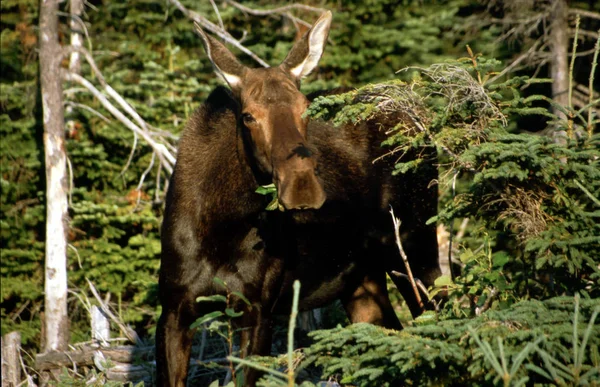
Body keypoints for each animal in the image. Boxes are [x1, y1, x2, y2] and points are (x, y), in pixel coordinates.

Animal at [157, 10, 442, 386]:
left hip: (415, 245)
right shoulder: (174, 306)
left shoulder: (259, 308)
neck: (221, 228)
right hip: (362, 277)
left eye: (306, 107)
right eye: (248, 115)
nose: (302, 185)